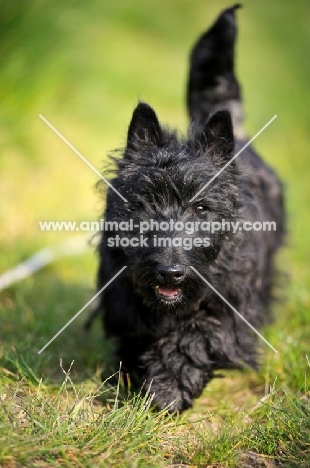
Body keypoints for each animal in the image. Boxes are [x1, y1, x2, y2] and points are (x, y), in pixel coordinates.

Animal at [94, 5, 284, 412]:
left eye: (201, 209)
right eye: (146, 204)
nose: (170, 272)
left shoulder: (229, 310)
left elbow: (195, 337)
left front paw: (168, 389)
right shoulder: (124, 296)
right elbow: (136, 331)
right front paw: (133, 373)